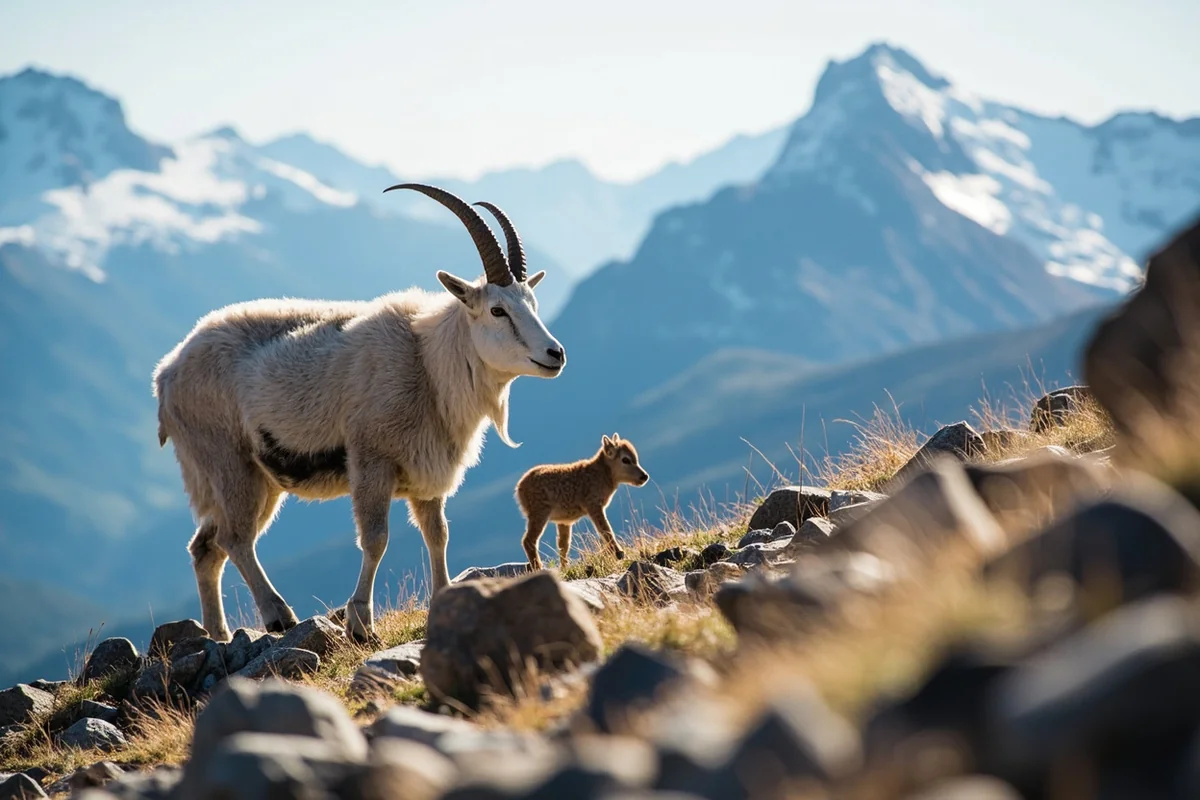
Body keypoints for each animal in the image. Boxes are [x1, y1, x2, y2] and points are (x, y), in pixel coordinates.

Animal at [152, 183, 565, 643]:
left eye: (533, 303)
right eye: (497, 310)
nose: (555, 354)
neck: (426, 361)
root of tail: (166, 375)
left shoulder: (428, 471)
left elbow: (438, 534)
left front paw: (442, 599)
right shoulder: (372, 460)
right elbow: (376, 539)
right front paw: (360, 623)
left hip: (255, 478)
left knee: (206, 548)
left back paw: (219, 634)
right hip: (228, 462)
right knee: (235, 537)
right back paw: (279, 615)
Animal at [515, 433, 650, 571]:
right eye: (625, 459)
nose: (644, 476)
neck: (603, 474)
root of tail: (519, 488)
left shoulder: (564, 521)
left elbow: (564, 545)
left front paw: (565, 569)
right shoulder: (594, 506)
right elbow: (606, 530)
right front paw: (619, 553)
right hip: (540, 513)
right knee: (528, 540)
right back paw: (538, 567)